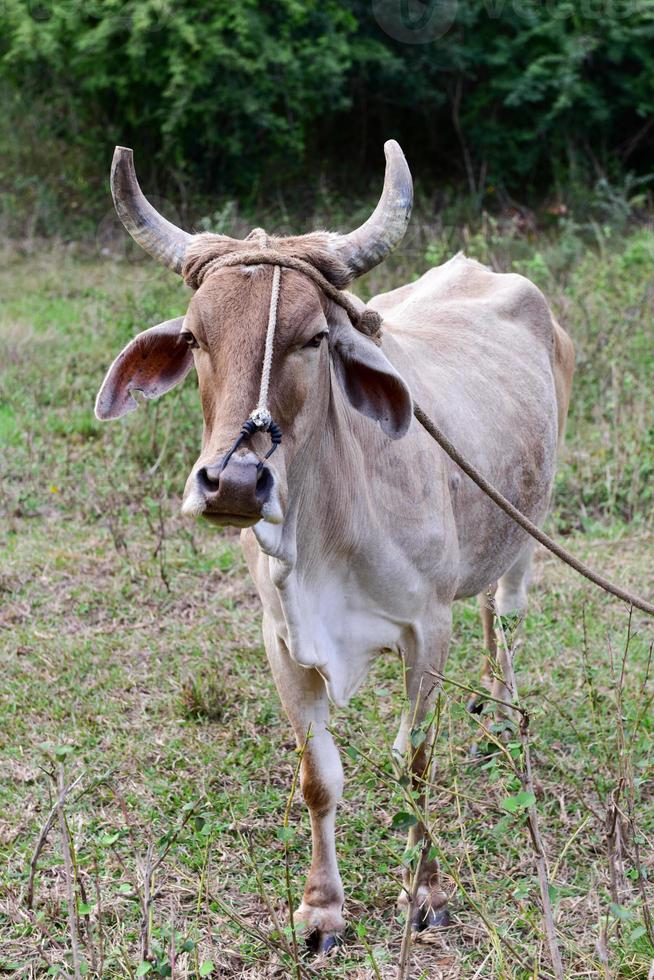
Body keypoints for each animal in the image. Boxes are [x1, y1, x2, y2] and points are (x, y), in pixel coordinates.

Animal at [95, 142, 576, 952]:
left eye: (314, 336)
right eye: (194, 338)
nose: (234, 482)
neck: (325, 540)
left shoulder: (428, 629)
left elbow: (415, 761)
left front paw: (426, 892)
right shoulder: (281, 639)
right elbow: (319, 777)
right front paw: (322, 909)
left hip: (525, 530)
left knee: (502, 614)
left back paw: (502, 717)